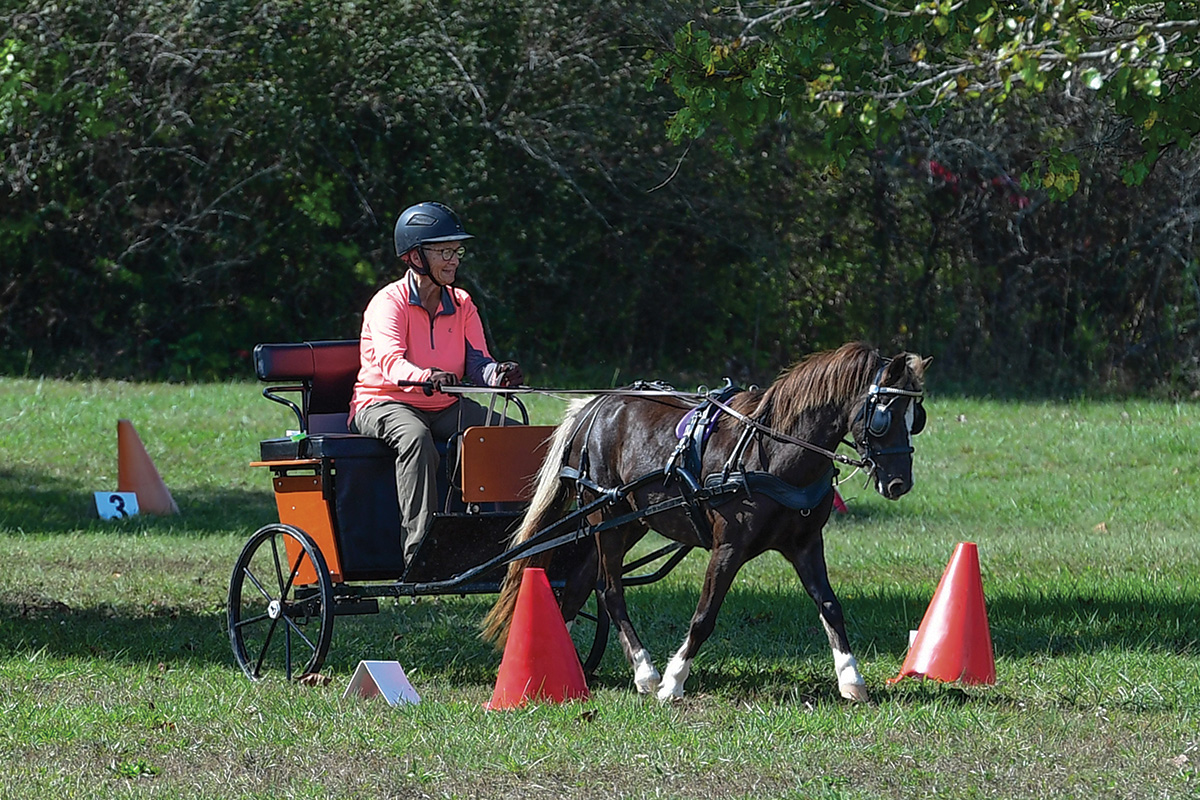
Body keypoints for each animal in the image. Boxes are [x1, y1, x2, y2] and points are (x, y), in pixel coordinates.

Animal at [477, 340, 926, 705]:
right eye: (883, 417)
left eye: (916, 417)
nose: (900, 483)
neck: (771, 452)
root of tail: (593, 407)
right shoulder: (728, 547)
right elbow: (705, 614)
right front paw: (673, 681)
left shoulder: (805, 544)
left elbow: (830, 606)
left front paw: (851, 678)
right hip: (607, 514)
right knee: (609, 589)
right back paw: (644, 670)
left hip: (630, 520)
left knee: (579, 584)